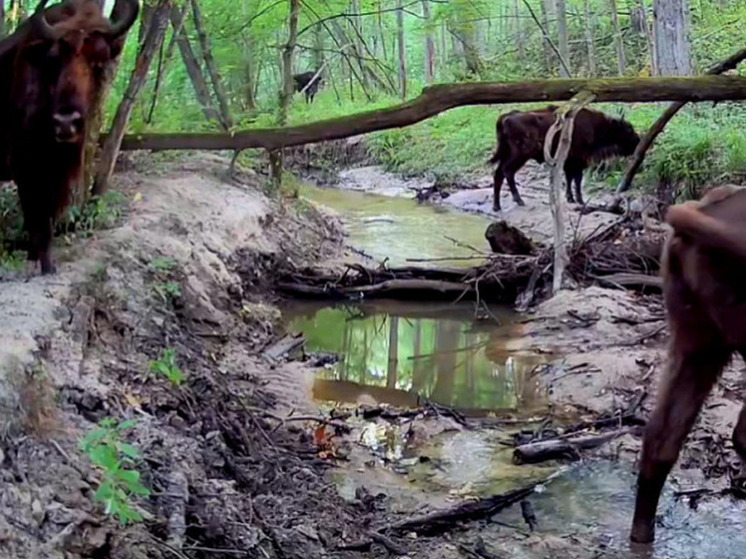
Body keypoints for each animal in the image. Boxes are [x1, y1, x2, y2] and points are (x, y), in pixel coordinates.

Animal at [0, 0, 140, 276]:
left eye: (98, 60)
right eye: (53, 61)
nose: (66, 122)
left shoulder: (59, 172)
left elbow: (48, 214)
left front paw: (37, 257)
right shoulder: (26, 166)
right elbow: (38, 216)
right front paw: (46, 265)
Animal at [486, 105, 636, 212]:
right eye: (628, 129)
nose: (638, 140)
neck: (597, 125)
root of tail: (506, 117)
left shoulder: (569, 161)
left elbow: (569, 178)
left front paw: (570, 198)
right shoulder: (577, 160)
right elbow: (576, 179)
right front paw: (580, 200)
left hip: (508, 154)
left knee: (499, 173)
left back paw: (497, 206)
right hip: (519, 155)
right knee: (507, 172)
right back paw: (518, 200)